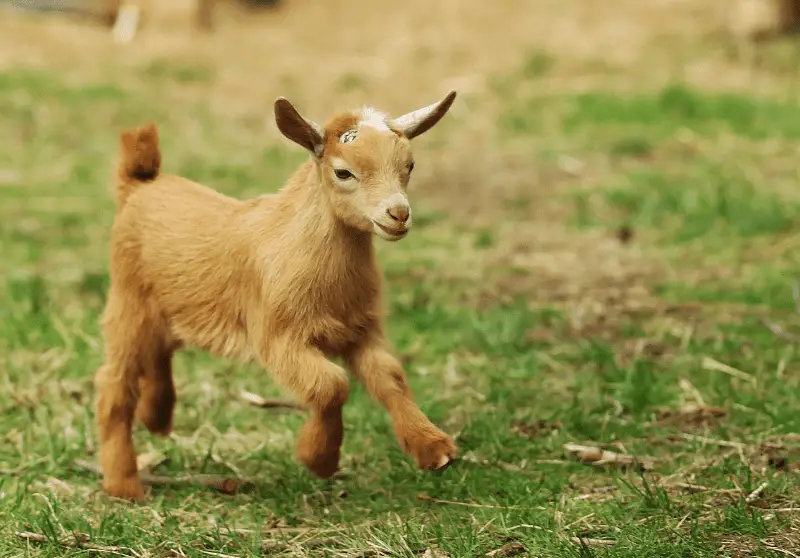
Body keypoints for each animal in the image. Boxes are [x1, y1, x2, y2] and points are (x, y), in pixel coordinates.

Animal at [94, 91, 459, 500]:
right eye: (343, 172)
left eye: (409, 165)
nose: (398, 214)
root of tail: (139, 185)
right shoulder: (278, 336)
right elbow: (331, 385)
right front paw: (320, 459)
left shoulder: (361, 331)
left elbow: (390, 378)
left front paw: (434, 448)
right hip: (127, 304)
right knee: (113, 385)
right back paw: (124, 484)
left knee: (159, 353)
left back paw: (156, 418)